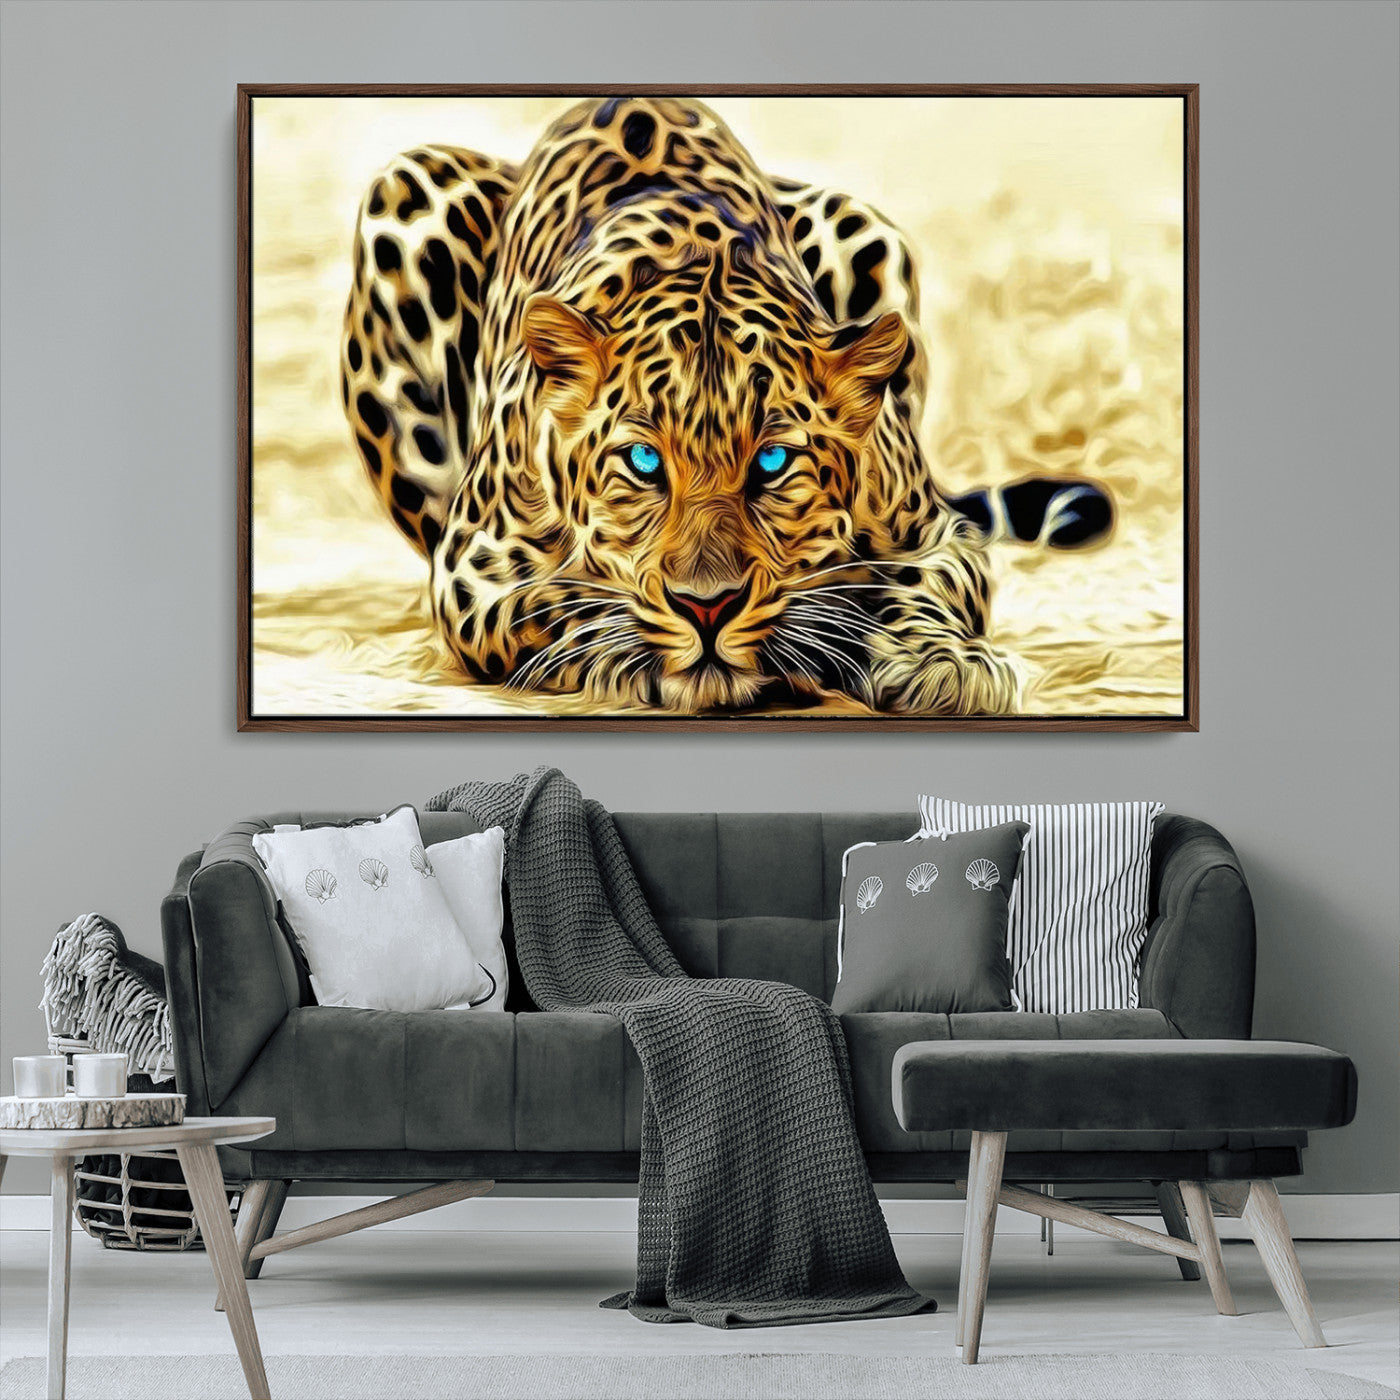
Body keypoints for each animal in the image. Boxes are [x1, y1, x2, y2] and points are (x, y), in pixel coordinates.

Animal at [340, 96, 1044, 715]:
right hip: (406, 190)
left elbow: (927, 587)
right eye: (644, 462)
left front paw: (947, 663)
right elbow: (563, 604)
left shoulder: (935, 535)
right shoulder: (475, 567)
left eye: (773, 463)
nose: (708, 607)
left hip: (861, 224)